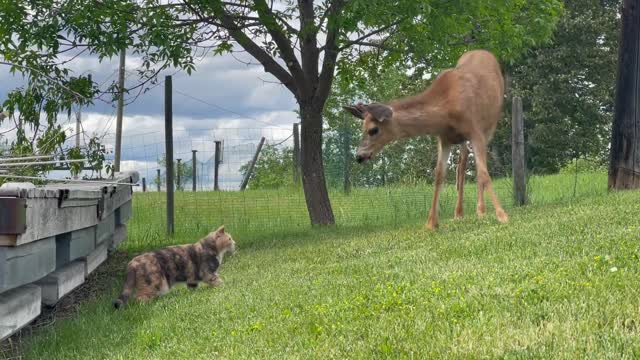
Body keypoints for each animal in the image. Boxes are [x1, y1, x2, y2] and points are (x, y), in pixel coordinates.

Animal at [344, 49, 510, 229]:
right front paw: (431, 223)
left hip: (490, 125)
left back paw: (481, 210)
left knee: (478, 166)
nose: (359, 156)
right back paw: (459, 212)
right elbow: (439, 175)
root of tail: (483, 51)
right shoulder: (444, 138)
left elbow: (484, 172)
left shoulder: (475, 130)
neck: (446, 108)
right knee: (462, 161)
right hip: (462, 139)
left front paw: (502, 215)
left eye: (373, 130)